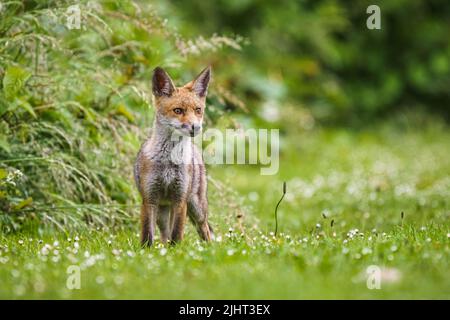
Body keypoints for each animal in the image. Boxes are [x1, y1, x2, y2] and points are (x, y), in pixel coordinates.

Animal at [134, 65, 214, 245]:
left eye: (198, 110)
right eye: (178, 110)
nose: (195, 127)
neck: (169, 161)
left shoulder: (180, 199)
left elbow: (177, 234)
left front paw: (177, 250)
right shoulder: (149, 199)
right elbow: (147, 235)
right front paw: (145, 250)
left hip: (196, 207)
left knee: (204, 228)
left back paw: (210, 248)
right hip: (162, 212)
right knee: (164, 235)